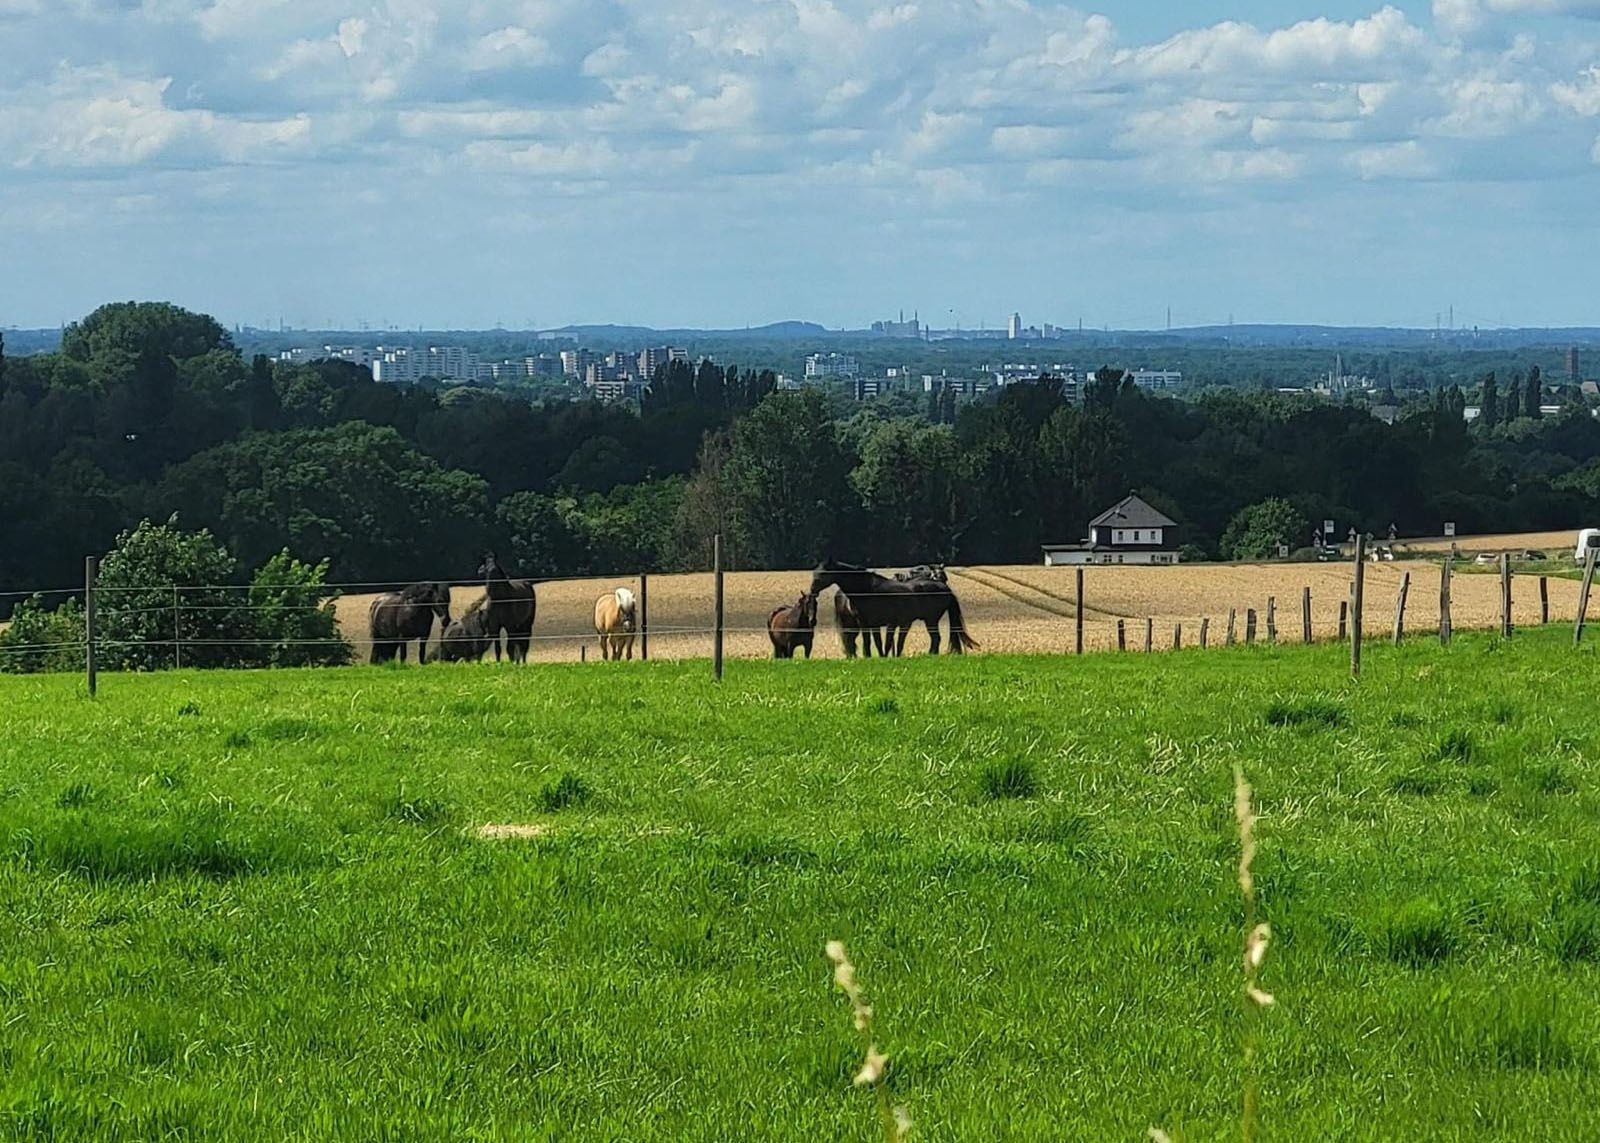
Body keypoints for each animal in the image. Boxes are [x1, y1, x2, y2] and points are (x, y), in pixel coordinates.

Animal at [812, 560, 972, 653]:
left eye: (822, 573)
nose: (813, 590)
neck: (866, 589)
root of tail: (945, 588)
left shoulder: (871, 623)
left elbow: (875, 643)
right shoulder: (873, 623)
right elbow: (880, 643)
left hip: (931, 620)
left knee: (936, 639)